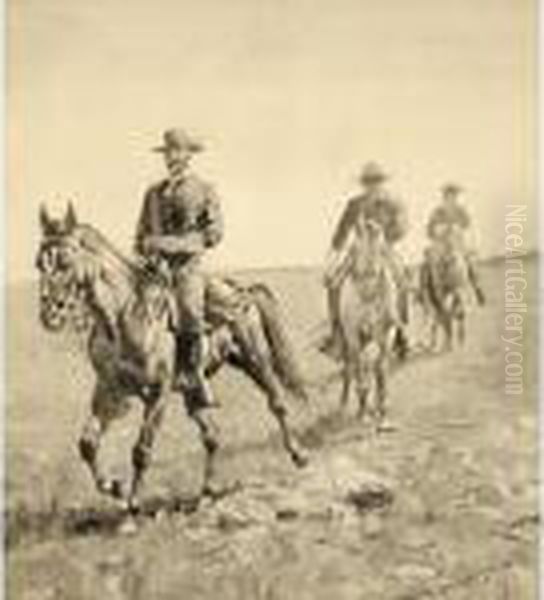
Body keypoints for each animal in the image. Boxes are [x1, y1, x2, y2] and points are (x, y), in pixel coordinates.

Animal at [36, 204, 310, 512]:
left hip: (254, 359)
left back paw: (299, 455)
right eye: (38, 264)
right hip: (195, 391)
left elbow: (142, 449)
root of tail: (241, 289)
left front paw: (134, 503)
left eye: (66, 262)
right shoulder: (109, 389)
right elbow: (87, 444)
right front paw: (115, 487)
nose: (50, 314)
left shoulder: (158, 392)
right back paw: (207, 491)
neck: (123, 316)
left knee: (277, 402)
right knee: (212, 436)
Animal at [336, 216, 400, 426]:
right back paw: (346, 405)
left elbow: (381, 369)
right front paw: (363, 413)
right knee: (350, 367)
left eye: (380, 248)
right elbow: (359, 369)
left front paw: (383, 412)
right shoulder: (353, 335)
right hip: (349, 340)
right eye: (354, 247)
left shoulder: (386, 335)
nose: (370, 276)